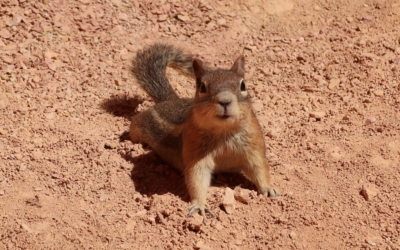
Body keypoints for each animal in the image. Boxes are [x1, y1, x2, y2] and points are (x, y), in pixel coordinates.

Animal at [130, 44, 280, 220]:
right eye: (202, 87)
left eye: (243, 85)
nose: (224, 101)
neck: (224, 132)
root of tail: (170, 100)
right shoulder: (196, 153)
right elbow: (196, 177)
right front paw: (200, 205)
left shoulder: (254, 147)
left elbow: (260, 168)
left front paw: (269, 189)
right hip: (141, 125)